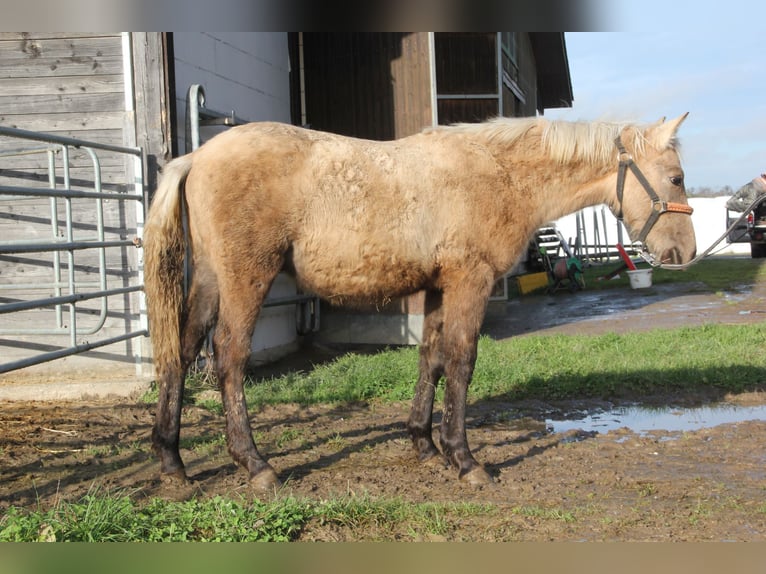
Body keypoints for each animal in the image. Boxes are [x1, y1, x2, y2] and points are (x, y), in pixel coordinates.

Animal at [146, 116, 704, 490]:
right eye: (676, 178)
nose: (685, 252)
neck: (498, 173)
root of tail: (197, 157)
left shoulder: (438, 287)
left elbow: (430, 359)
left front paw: (424, 445)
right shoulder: (469, 282)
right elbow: (461, 361)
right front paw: (466, 461)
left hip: (212, 279)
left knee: (182, 350)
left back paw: (172, 463)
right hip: (246, 278)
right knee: (229, 356)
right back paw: (256, 465)